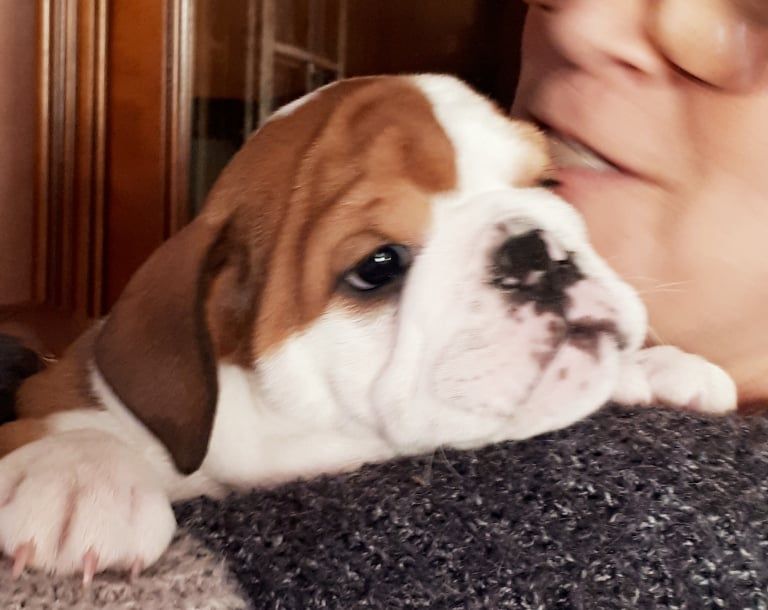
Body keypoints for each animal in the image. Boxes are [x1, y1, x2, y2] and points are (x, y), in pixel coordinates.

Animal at [0, 75, 736, 580]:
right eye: (377, 266)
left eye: (552, 185)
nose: (534, 251)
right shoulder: (58, 385)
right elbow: (66, 419)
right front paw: (80, 474)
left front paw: (655, 369)